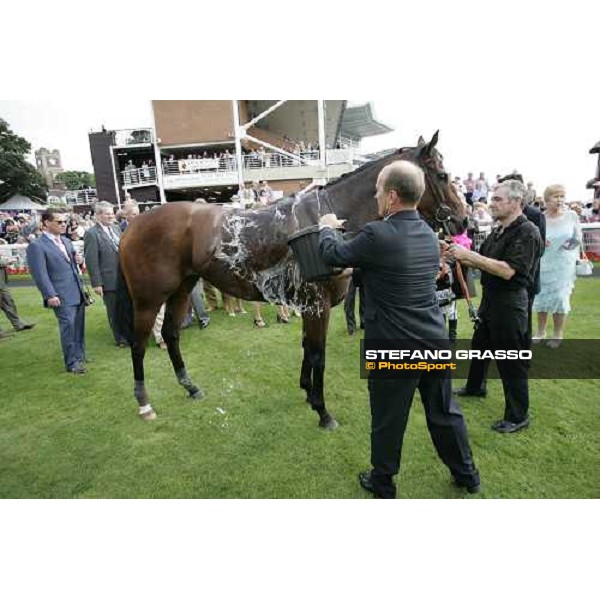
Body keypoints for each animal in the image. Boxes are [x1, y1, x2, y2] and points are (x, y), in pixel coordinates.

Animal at [117, 134, 464, 428]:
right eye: (443, 176)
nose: (463, 220)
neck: (327, 221)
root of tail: (132, 225)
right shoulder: (316, 305)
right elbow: (317, 354)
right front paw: (323, 412)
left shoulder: (307, 305)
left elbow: (306, 347)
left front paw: (308, 392)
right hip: (148, 299)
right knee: (138, 344)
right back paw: (144, 403)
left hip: (182, 289)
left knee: (171, 334)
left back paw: (190, 387)